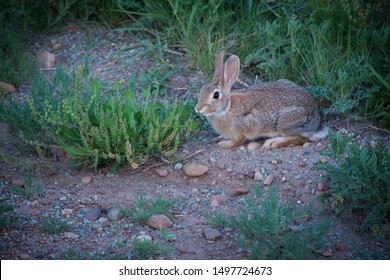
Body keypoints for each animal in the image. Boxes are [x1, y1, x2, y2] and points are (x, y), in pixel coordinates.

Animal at [193, 47, 328, 149]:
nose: (197, 108)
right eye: (202, 89)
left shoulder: (244, 127)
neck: (227, 108)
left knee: (301, 137)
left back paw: (273, 142)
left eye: (216, 95)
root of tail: (317, 120)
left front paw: (224, 144)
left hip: (286, 122)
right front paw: (219, 137)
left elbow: (237, 141)